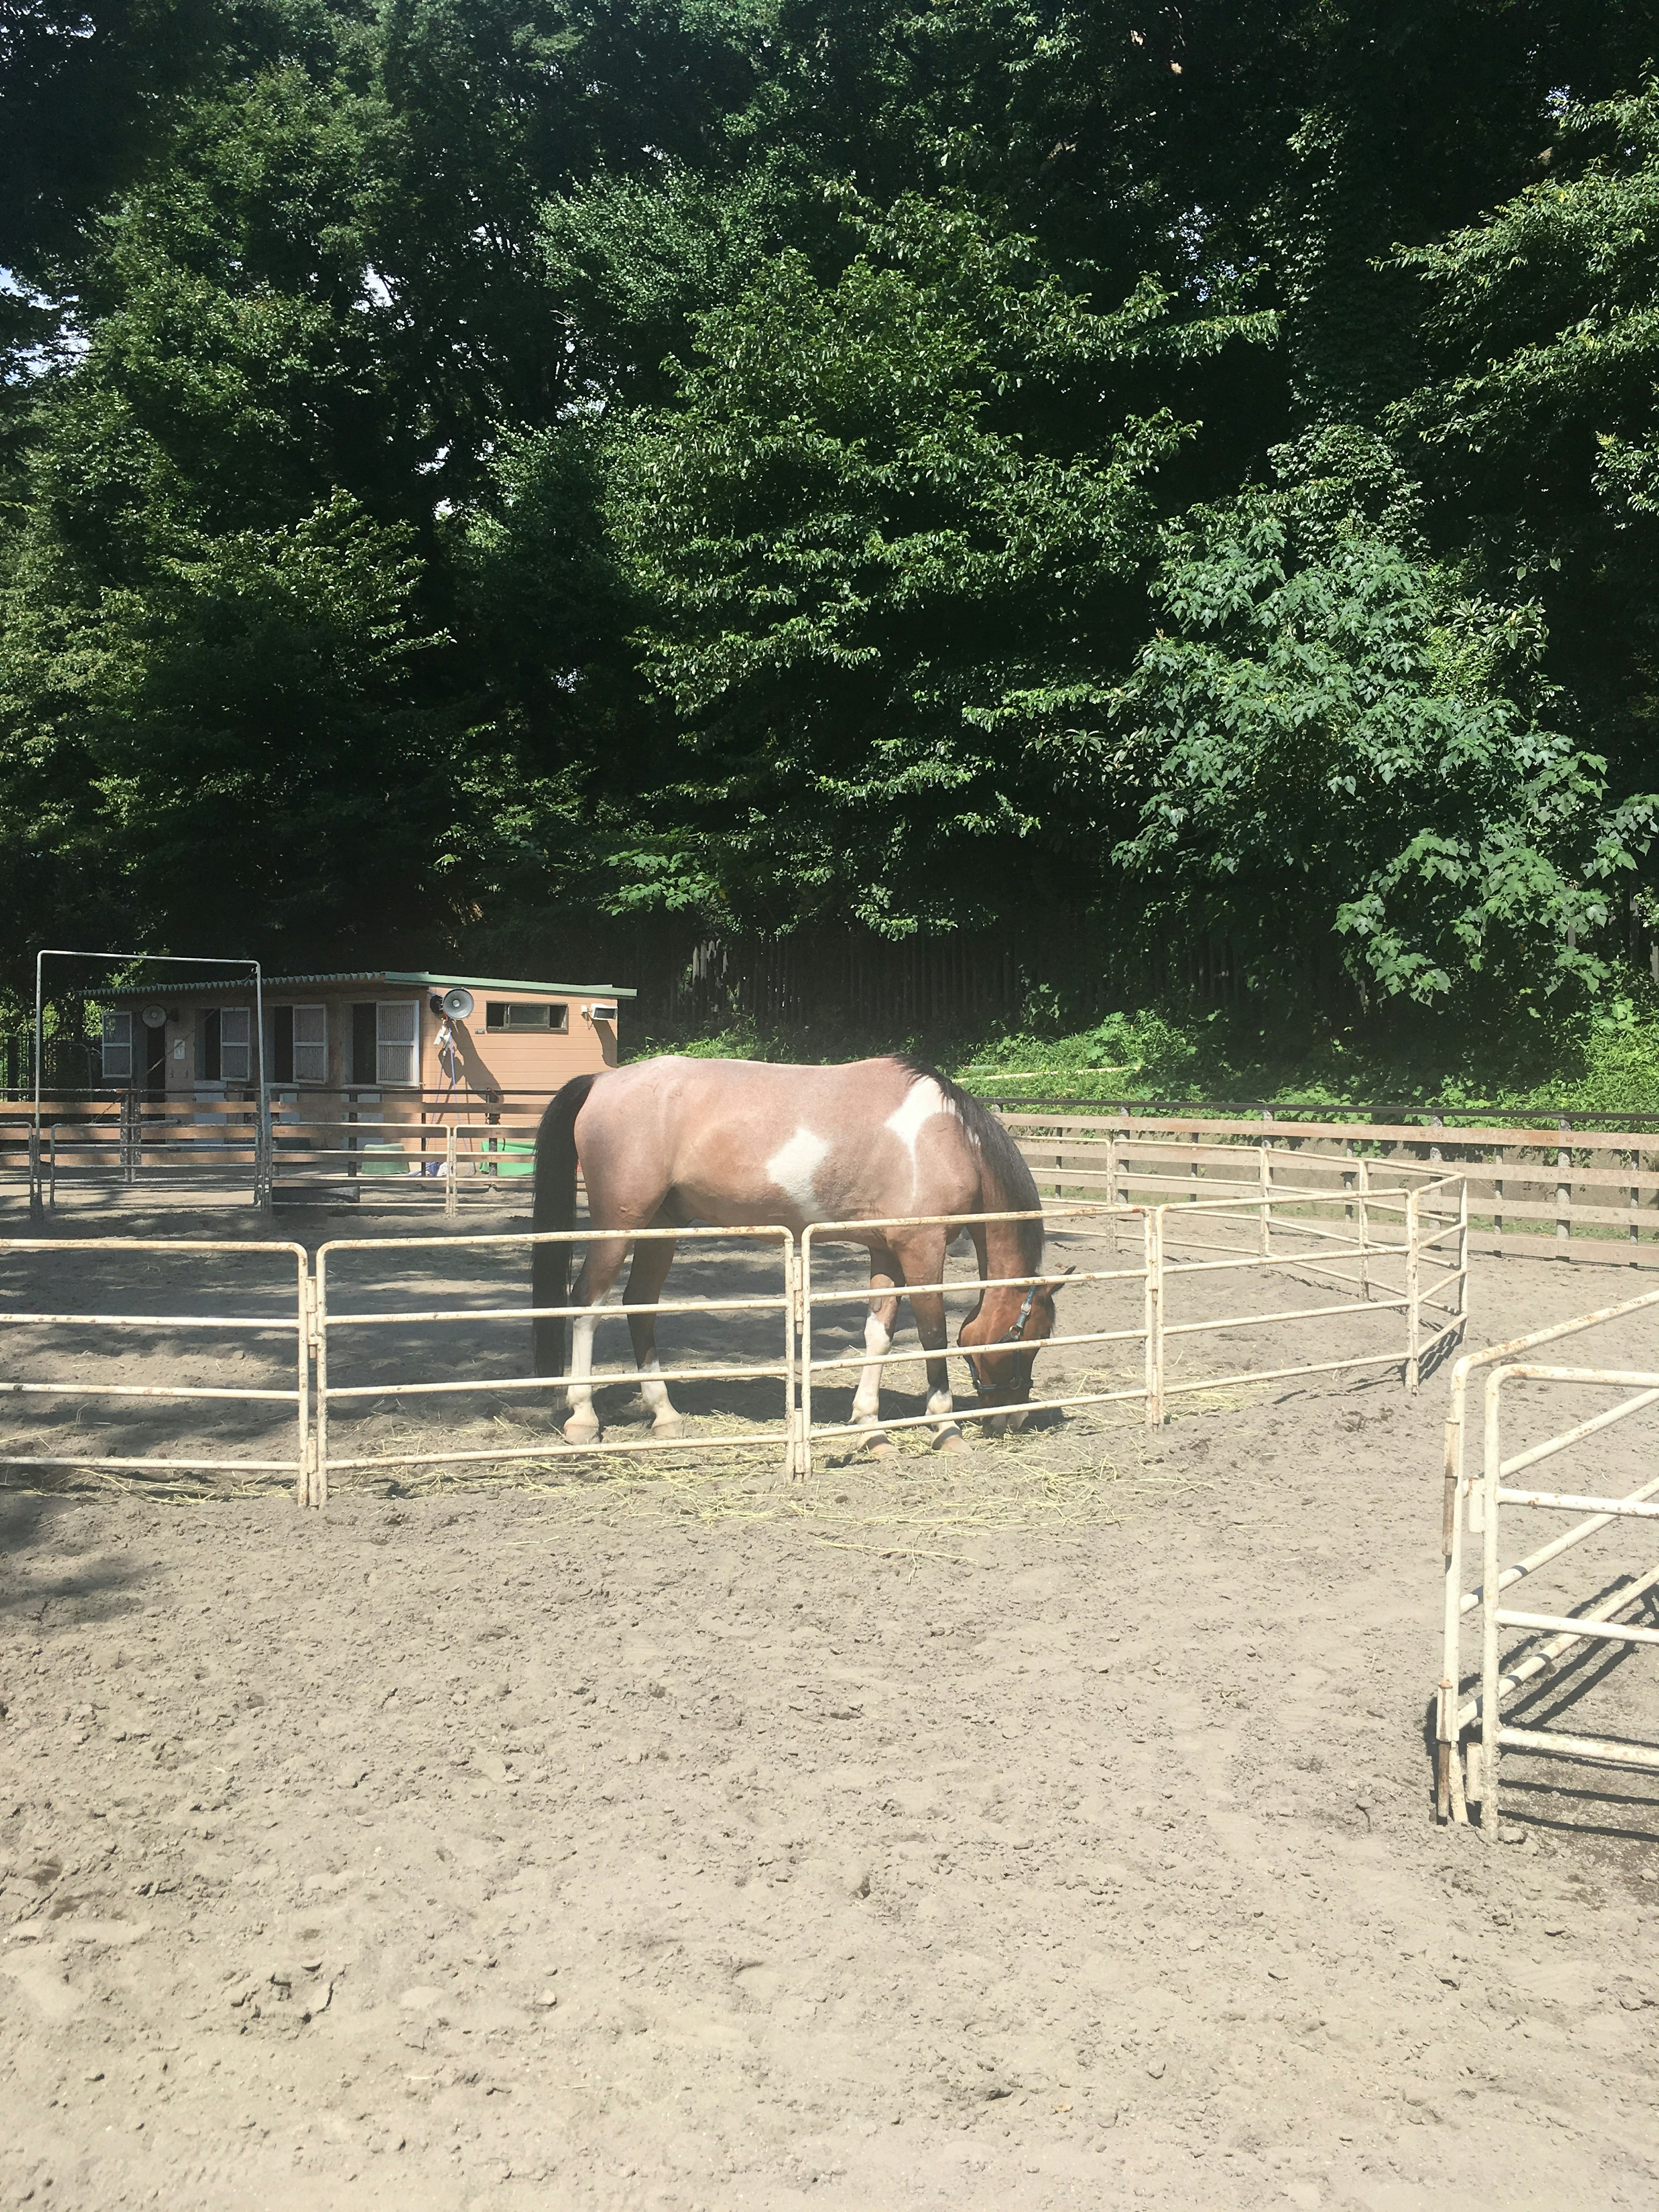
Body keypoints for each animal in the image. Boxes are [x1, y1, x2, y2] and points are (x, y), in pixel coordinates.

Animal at [528, 1053, 1066, 1451]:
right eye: (1030, 1338)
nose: (1013, 1418)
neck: (947, 1137)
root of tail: (602, 1081)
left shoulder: (887, 1252)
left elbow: (879, 1335)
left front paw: (870, 1427)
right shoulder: (921, 1249)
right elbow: (932, 1334)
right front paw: (945, 1426)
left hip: (661, 1227)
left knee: (640, 1306)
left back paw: (666, 1415)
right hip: (620, 1223)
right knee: (588, 1304)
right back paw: (582, 1418)